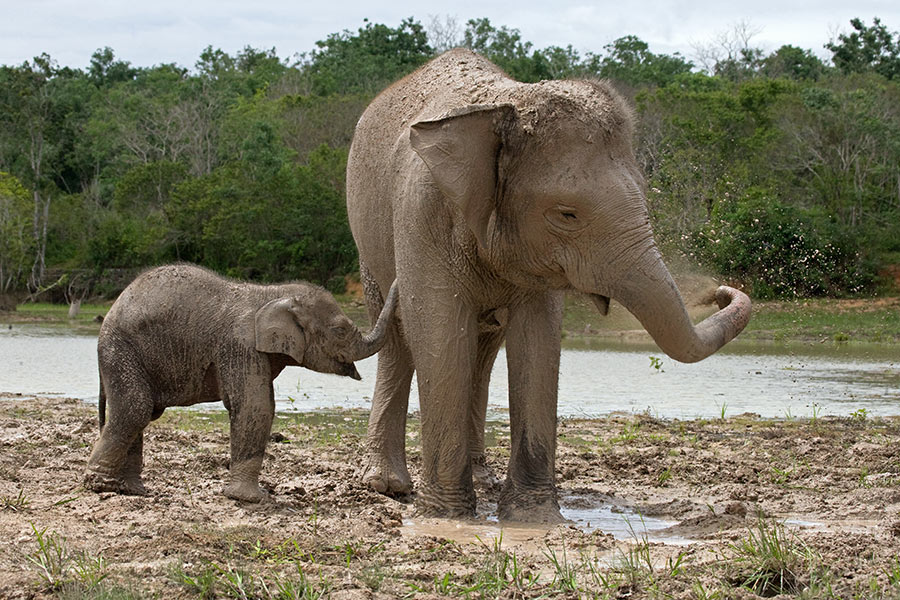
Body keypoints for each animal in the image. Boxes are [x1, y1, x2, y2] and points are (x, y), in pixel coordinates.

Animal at [87, 262, 398, 502]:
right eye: (340, 330)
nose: (396, 280)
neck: (272, 293)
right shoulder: (241, 344)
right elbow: (255, 406)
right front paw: (252, 499)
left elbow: (260, 404)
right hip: (121, 349)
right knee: (135, 409)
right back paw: (103, 486)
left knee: (139, 413)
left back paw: (133, 490)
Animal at [346, 49, 752, 524]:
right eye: (566, 215)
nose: (716, 292)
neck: (505, 106)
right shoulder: (422, 213)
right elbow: (440, 334)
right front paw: (447, 518)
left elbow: (537, 338)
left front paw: (534, 519)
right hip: (369, 246)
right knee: (397, 340)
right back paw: (386, 486)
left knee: (484, 348)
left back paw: (482, 480)